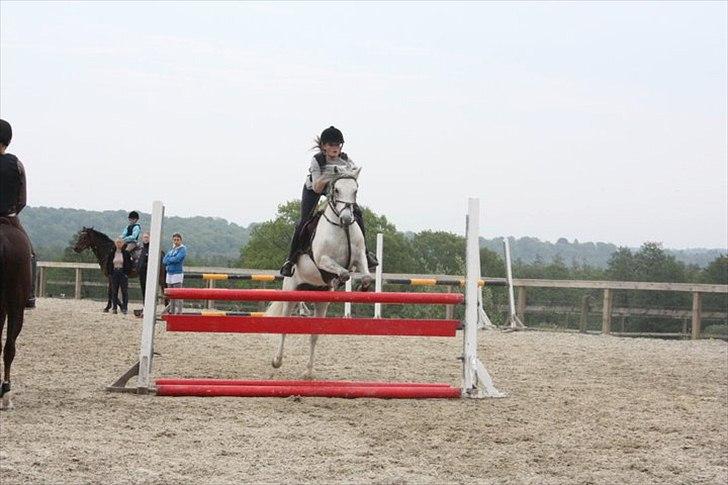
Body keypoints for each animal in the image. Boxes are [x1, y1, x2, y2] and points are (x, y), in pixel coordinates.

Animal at [266, 167, 372, 378]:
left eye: (355, 190)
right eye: (337, 190)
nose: (347, 219)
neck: (342, 229)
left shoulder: (359, 258)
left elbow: (366, 275)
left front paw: (361, 287)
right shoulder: (323, 259)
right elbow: (343, 272)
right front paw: (337, 280)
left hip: (321, 300)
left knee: (314, 334)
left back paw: (308, 371)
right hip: (290, 291)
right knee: (284, 327)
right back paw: (277, 361)